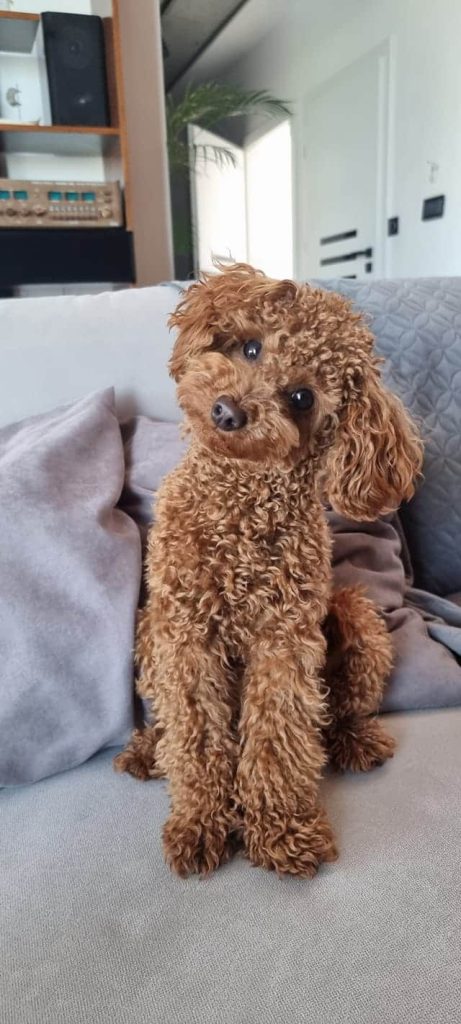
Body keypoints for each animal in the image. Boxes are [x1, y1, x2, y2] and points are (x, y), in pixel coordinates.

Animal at [115, 263, 422, 878]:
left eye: (302, 397)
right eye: (252, 347)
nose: (228, 411)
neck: (239, 502)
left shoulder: (284, 640)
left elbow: (277, 737)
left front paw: (282, 830)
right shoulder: (185, 635)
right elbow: (196, 736)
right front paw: (200, 823)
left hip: (356, 618)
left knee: (336, 716)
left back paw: (357, 742)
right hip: (149, 633)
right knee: (168, 724)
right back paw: (147, 750)